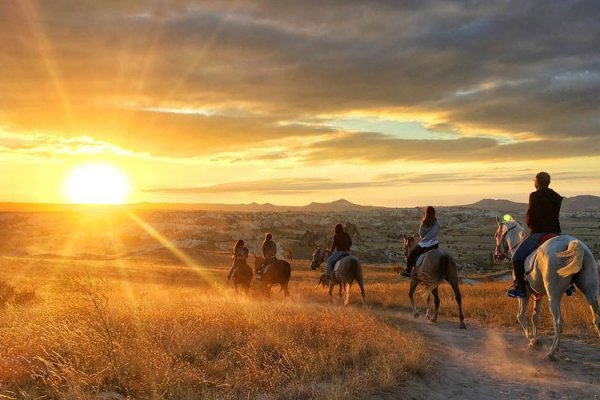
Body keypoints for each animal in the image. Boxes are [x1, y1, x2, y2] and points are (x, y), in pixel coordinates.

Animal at [492, 217, 600, 360]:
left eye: (496, 235)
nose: (496, 256)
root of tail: (573, 243)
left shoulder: (525, 293)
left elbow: (520, 316)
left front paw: (532, 340)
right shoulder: (538, 294)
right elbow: (535, 317)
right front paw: (536, 340)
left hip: (553, 296)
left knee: (558, 323)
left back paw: (552, 352)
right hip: (590, 291)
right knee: (597, 319)